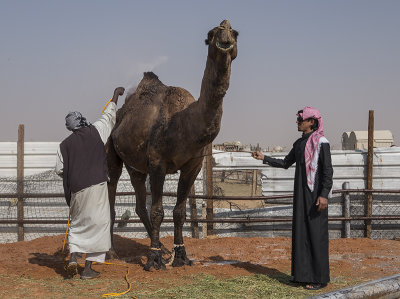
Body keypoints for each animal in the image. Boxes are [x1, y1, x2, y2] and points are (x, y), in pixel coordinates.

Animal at [106, 19, 238, 270]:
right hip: (111, 152)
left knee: (139, 204)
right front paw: (153, 260)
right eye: (210, 34)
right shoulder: (158, 163)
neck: (184, 124)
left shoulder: (193, 166)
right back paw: (111, 252)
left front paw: (180, 256)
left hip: (136, 167)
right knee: (112, 195)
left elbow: (179, 212)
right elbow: (158, 211)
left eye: (235, 33)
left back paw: (164, 249)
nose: (225, 32)